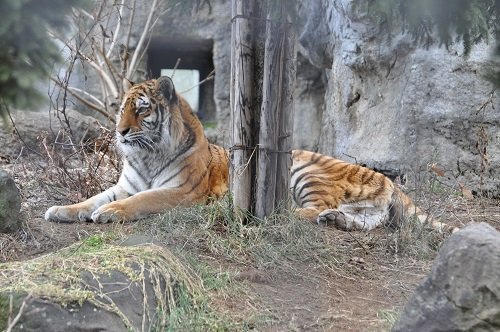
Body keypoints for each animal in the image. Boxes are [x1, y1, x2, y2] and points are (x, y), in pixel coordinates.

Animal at [45, 76, 456, 233]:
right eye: (121, 110)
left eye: (142, 110)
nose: (120, 131)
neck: (145, 155)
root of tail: (386, 178)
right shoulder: (125, 184)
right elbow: (91, 198)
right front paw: (60, 210)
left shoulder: (180, 191)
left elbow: (140, 201)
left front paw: (109, 214)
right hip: (362, 210)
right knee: (362, 221)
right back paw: (336, 221)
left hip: (301, 170)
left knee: (309, 208)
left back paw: (283, 215)